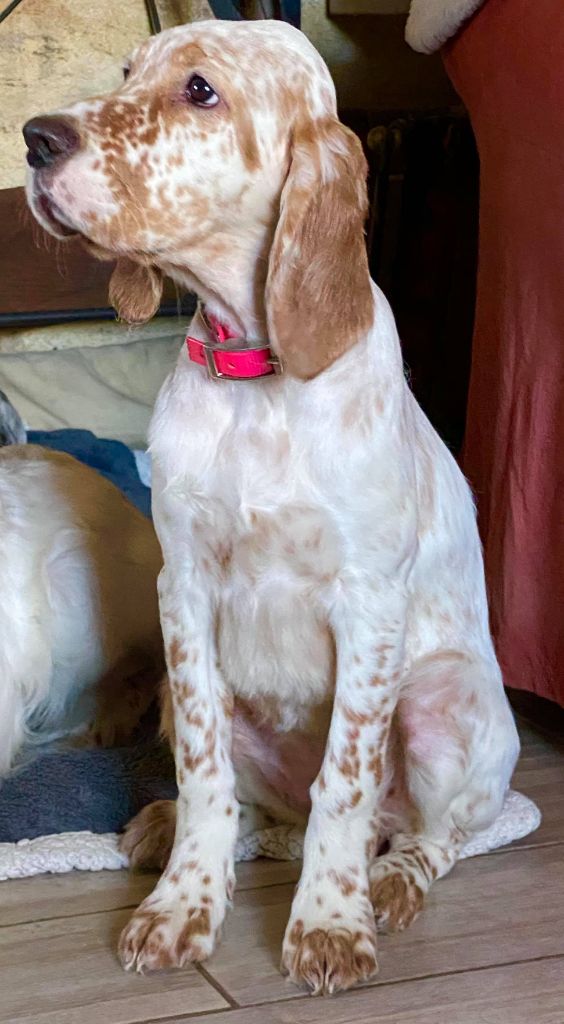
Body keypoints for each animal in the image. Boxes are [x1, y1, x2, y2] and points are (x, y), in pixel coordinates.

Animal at [24, 19, 520, 995]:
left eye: (201, 91)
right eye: (127, 73)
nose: (32, 139)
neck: (256, 379)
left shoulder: (369, 607)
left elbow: (346, 785)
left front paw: (330, 922)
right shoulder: (184, 591)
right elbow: (207, 774)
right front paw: (184, 902)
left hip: (442, 705)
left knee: (431, 833)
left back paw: (392, 881)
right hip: (182, 691)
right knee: (266, 816)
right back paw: (167, 828)